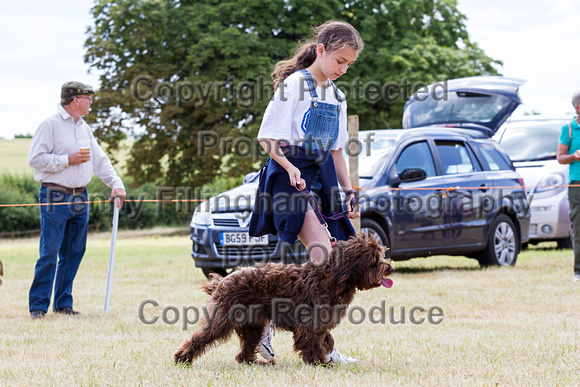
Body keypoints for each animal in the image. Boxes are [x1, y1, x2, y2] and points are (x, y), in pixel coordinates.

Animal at [173, 233, 394, 366]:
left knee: (244, 352)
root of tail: (223, 280)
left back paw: (255, 363)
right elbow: (312, 342)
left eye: (381, 255)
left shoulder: (321, 322)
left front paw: (326, 354)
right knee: (201, 337)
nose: (390, 267)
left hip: (253, 324)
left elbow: (325, 338)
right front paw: (318, 361)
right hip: (223, 318)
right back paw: (182, 358)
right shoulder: (309, 322)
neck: (331, 278)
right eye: (374, 260)